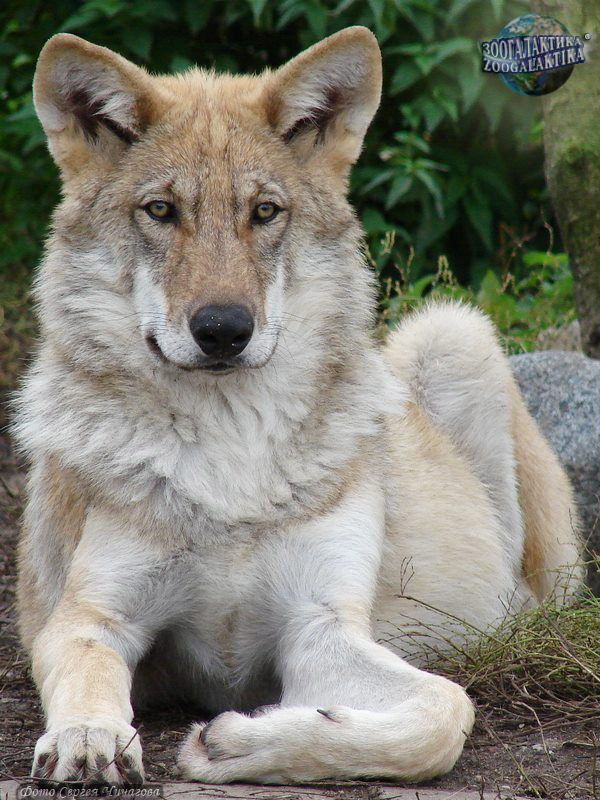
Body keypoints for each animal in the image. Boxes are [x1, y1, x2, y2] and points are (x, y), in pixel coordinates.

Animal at [13, 26, 581, 787]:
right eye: (161, 211)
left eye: (264, 212)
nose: (223, 329)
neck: (228, 455)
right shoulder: (91, 618)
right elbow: (87, 677)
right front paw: (89, 737)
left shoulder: (319, 629)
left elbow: (445, 712)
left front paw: (237, 741)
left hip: (451, 333)